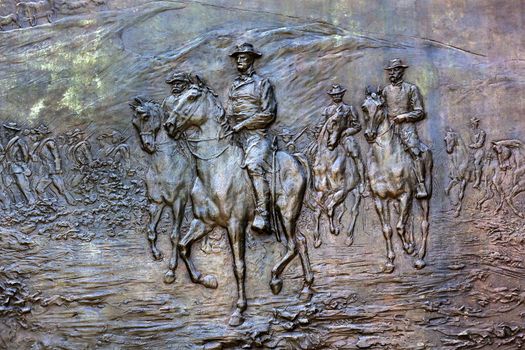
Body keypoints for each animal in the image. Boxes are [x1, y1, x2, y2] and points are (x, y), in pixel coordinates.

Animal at [129, 95, 192, 284]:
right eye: (134, 122)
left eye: (146, 117)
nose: (147, 146)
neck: (164, 165)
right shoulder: (156, 202)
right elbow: (150, 230)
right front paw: (157, 254)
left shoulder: (179, 202)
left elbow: (174, 235)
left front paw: (171, 271)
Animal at [163, 80, 312, 326]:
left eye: (192, 97)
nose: (168, 125)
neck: (216, 168)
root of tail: (296, 159)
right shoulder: (203, 222)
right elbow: (184, 246)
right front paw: (206, 280)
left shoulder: (236, 224)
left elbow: (239, 267)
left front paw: (239, 310)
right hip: (286, 216)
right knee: (301, 241)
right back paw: (306, 288)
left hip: (287, 212)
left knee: (292, 244)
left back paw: (275, 280)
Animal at [310, 108, 362, 246]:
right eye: (333, 121)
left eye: (342, 122)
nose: (330, 143)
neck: (328, 161)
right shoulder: (321, 192)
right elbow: (317, 211)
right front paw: (317, 238)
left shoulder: (341, 190)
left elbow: (329, 209)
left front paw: (333, 230)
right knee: (342, 208)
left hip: (356, 190)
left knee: (354, 211)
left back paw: (349, 237)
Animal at [360, 86, 430, 272]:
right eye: (364, 107)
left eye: (380, 106)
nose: (370, 134)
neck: (385, 159)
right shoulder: (380, 199)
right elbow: (387, 229)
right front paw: (390, 261)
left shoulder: (406, 195)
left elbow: (399, 226)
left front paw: (409, 248)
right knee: (409, 220)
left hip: (423, 195)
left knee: (423, 223)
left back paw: (420, 257)